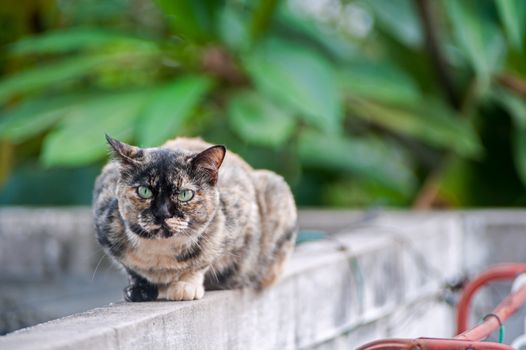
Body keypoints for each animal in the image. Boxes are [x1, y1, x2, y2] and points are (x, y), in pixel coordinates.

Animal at [93, 135, 300, 302]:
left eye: (185, 194)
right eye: (144, 191)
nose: (162, 213)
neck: (161, 253)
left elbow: (202, 261)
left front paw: (185, 286)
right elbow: (132, 269)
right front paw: (139, 290)